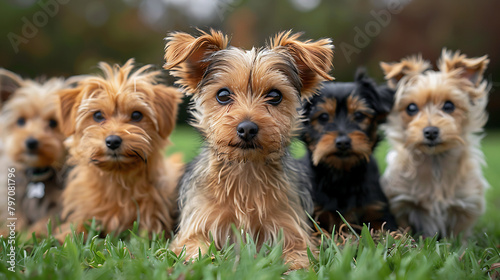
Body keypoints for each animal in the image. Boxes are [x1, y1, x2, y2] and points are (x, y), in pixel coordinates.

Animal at [0, 69, 77, 235]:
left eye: (53, 123)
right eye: (21, 121)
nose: (31, 142)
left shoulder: (59, 206)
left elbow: (45, 223)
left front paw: (29, 235)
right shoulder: (13, 198)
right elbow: (14, 218)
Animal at [57, 59, 182, 238]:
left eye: (136, 115)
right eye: (98, 115)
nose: (113, 141)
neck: (118, 182)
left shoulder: (152, 221)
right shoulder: (85, 214)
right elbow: (73, 233)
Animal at [166, 30, 334, 270]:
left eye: (275, 95)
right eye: (223, 95)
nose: (247, 128)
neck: (246, 171)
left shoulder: (291, 229)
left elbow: (300, 256)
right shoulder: (196, 227)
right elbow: (197, 250)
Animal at [380, 49, 490, 237]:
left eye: (449, 106)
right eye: (411, 108)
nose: (431, 131)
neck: (435, 162)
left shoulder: (466, 205)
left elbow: (460, 237)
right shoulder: (401, 201)